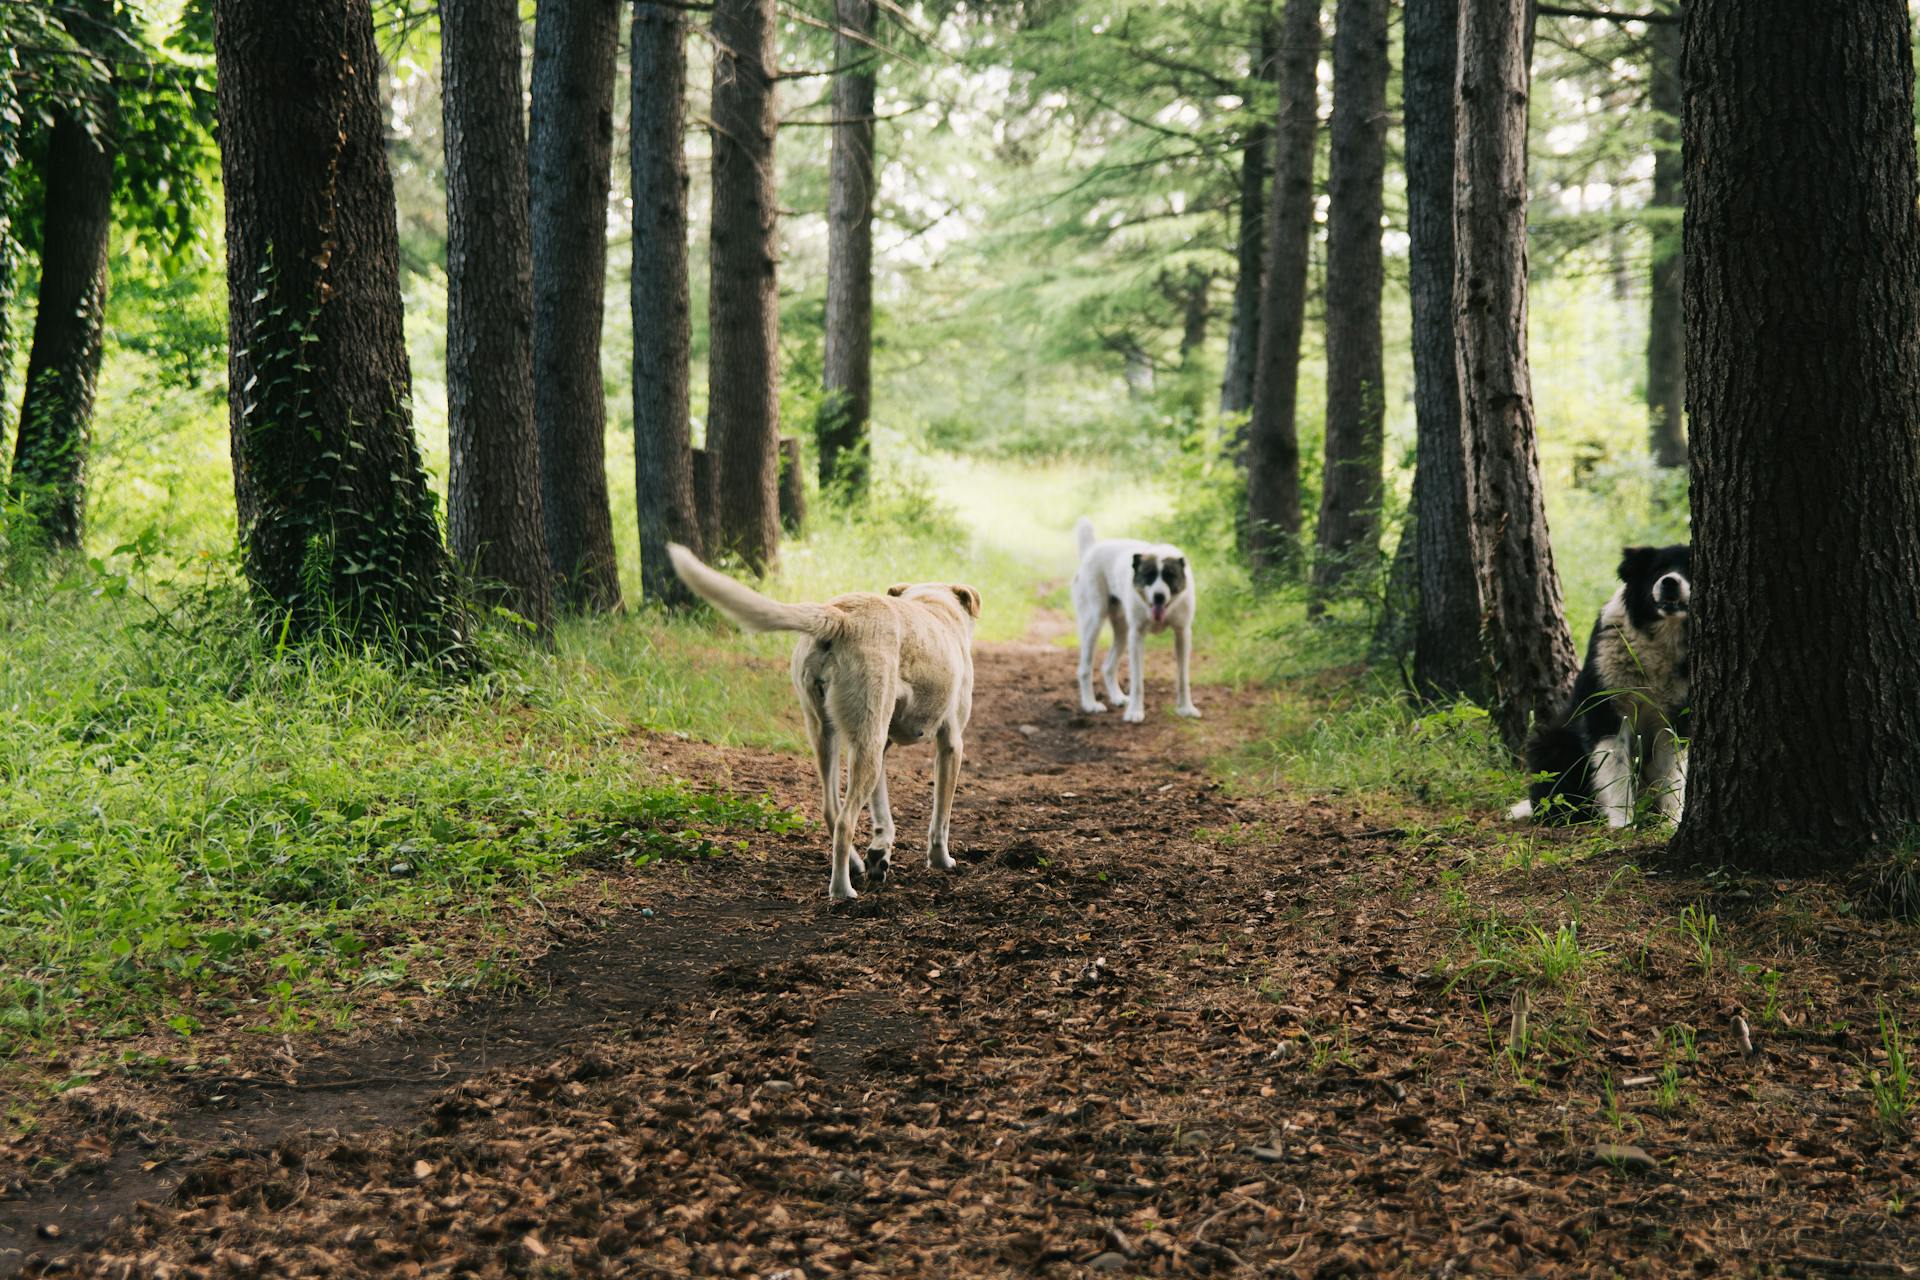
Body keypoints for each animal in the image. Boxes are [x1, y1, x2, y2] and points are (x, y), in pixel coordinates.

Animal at [668, 545, 983, 905]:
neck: (934, 606)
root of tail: (841, 617)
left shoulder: (883, 746)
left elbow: (882, 814)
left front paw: (880, 852)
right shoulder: (950, 744)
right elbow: (940, 818)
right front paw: (941, 861)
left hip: (831, 736)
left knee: (831, 810)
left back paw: (856, 865)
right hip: (866, 744)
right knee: (845, 821)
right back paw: (842, 890)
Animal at [1067, 518, 1198, 721]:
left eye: (1170, 576)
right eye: (1148, 576)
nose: (1159, 596)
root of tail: (1091, 550)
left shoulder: (1182, 633)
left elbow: (1183, 677)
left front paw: (1186, 708)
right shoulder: (1137, 636)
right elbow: (1137, 681)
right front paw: (1135, 712)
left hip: (1122, 632)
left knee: (1108, 666)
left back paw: (1118, 697)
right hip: (1093, 623)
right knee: (1084, 669)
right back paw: (1090, 704)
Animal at [1512, 545, 1697, 825]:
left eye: (1689, 568)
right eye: (1658, 569)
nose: (1669, 583)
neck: (1660, 636)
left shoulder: (1676, 711)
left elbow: (1672, 767)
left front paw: (1670, 820)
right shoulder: (1607, 697)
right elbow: (1615, 763)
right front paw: (1623, 822)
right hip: (1553, 741)